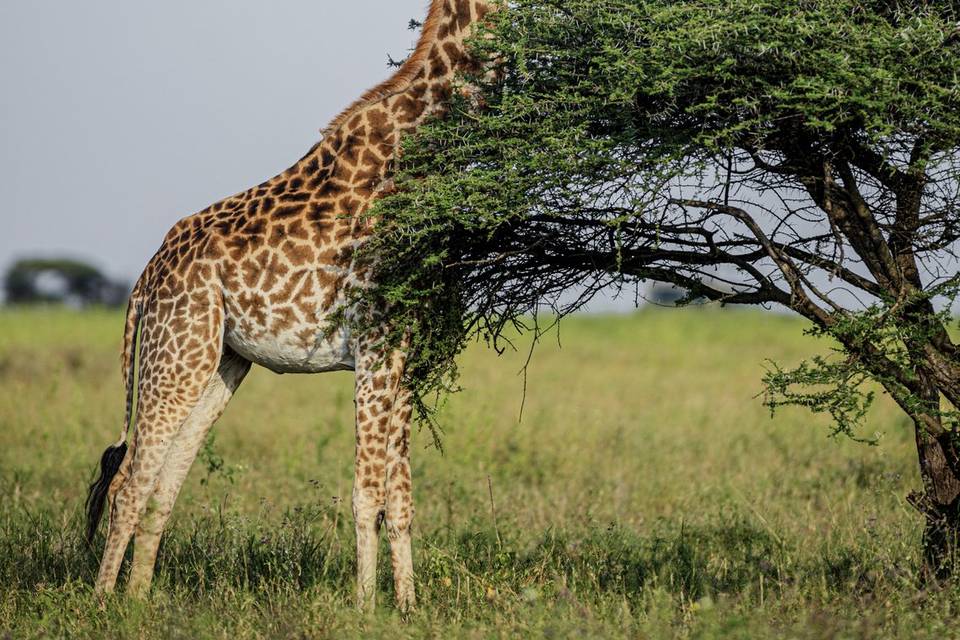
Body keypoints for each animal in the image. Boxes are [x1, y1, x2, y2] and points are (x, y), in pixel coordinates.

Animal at [84, 0, 494, 611]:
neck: (410, 152)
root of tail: (144, 280)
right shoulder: (374, 348)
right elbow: (366, 491)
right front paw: (366, 609)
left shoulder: (403, 355)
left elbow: (400, 497)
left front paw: (408, 607)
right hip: (175, 351)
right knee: (128, 480)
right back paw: (103, 604)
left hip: (218, 362)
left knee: (164, 482)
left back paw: (138, 599)